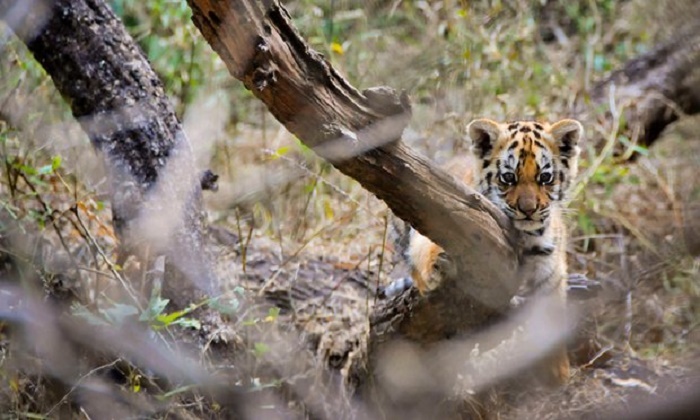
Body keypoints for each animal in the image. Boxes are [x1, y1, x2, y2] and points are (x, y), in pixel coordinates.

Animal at [384, 118, 584, 385]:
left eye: (545, 177)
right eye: (508, 177)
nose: (528, 209)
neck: (524, 236)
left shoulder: (550, 269)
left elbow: (551, 313)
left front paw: (558, 369)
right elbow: (428, 247)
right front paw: (434, 271)